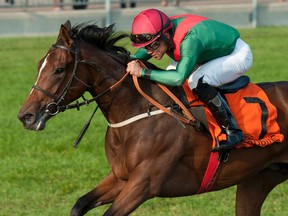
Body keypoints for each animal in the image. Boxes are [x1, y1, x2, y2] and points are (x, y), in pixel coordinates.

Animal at [17, 20, 288, 216]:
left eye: (59, 69)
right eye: (40, 65)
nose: (25, 116)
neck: (138, 111)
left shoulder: (144, 183)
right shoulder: (120, 177)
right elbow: (79, 204)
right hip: (256, 180)